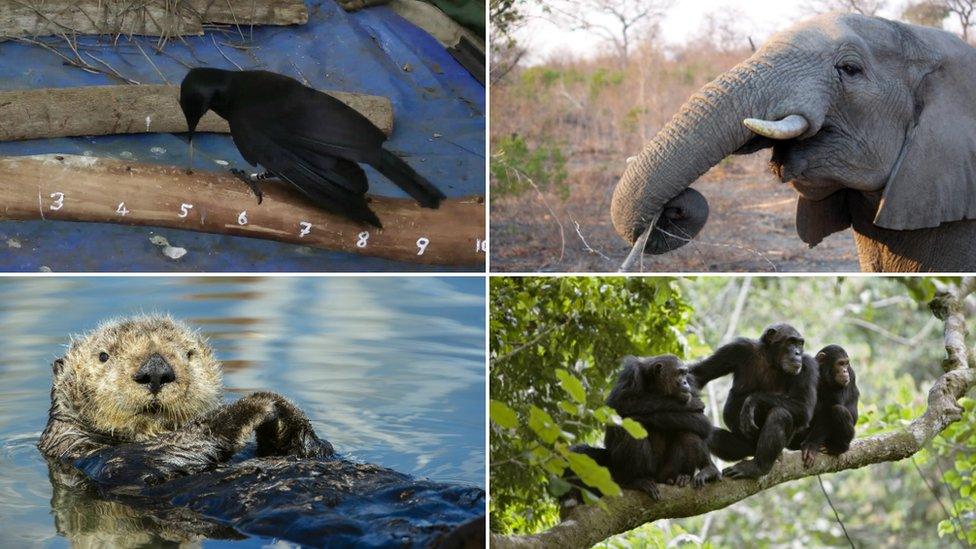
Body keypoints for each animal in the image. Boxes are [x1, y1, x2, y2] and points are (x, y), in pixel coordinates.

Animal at [568, 352, 720, 500]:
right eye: (679, 373)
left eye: (685, 373)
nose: (684, 382)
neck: (656, 385)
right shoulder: (631, 374)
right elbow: (618, 406)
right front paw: (690, 404)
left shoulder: (691, 384)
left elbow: (702, 422)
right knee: (629, 431)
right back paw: (635, 481)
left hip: (667, 472)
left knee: (688, 432)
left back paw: (699, 472)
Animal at [692, 324, 820, 478]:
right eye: (791, 342)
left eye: (800, 344)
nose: (797, 353)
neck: (771, 360)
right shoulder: (737, 348)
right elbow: (699, 374)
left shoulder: (808, 365)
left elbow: (803, 406)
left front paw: (752, 401)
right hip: (743, 447)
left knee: (780, 414)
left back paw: (758, 467)